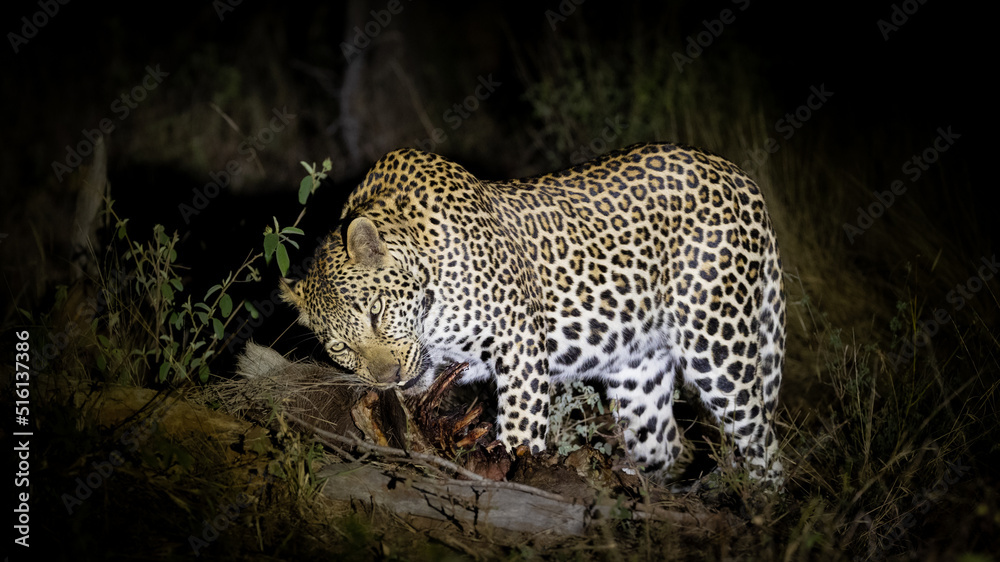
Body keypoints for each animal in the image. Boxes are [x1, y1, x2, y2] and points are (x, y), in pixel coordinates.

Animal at [281, 142, 785, 484]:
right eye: (340, 346)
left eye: (376, 312)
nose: (389, 380)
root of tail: (736, 173)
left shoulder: (519, 340)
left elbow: (520, 428)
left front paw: (511, 473)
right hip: (638, 372)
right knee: (665, 442)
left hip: (718, 343)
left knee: (760, 438)